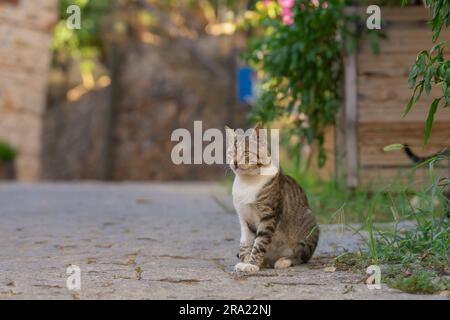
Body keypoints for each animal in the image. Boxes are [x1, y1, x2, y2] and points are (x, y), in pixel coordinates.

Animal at [225, 125, 320, 272]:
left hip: (309, 225)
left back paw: (284, 261)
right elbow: (245, 242)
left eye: (246, 153)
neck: (246, 183)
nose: (234, 163)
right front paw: (245, 261)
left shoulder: (269, 215)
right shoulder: (243, 218)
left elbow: (260, 242)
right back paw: (265, 262)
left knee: (301, 257)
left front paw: (252, 264)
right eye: (231, 153)